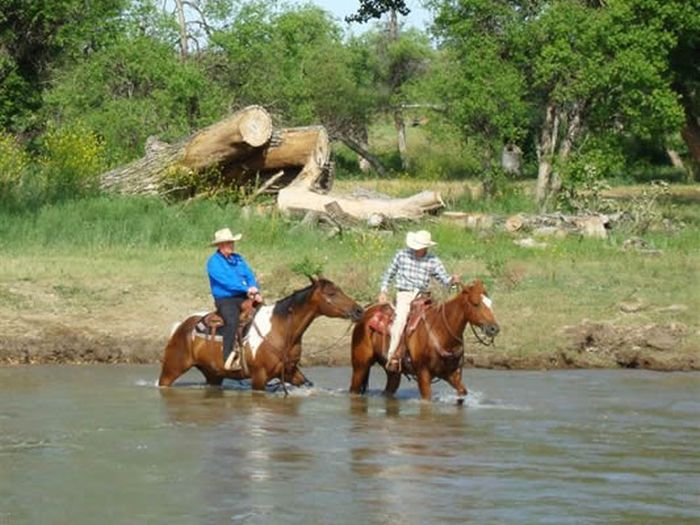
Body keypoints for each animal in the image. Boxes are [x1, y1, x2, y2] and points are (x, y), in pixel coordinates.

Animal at [159, 274, 364, 388]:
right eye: (331, 293)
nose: (359, 310)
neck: (282, 331)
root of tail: (182, 325)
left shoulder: (291, 373)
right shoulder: (259, 377)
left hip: (213, 374)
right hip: (172, 369)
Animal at [348, 280, 498, 400]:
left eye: (490, 303)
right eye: (476, 304)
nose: (494, 328)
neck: (441, 331)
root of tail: (366, 313)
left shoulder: (453, 374)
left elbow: (462, 392)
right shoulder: (423, 374)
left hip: (392, 372)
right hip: (360, 365)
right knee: (354, 389)